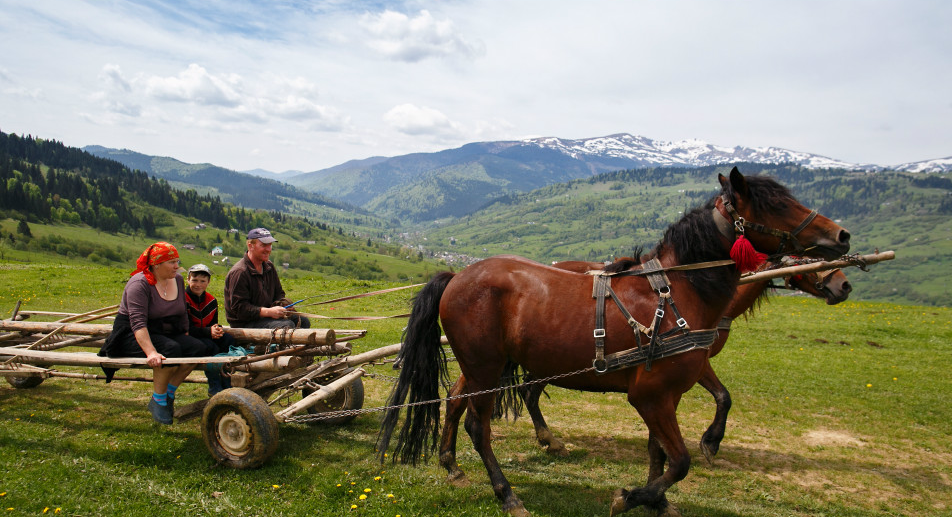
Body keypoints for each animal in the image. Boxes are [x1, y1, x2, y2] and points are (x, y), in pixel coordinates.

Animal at [512, 256, 856, 458]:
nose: (844, 285)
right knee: (529, 392)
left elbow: (721, 396)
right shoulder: (693, 362)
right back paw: (548, 438)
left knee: (529, 392)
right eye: (812, 256)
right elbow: (722, 396)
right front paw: (710, 441)